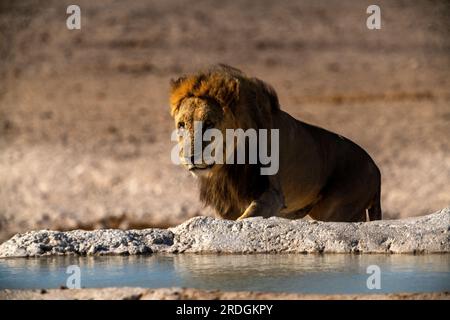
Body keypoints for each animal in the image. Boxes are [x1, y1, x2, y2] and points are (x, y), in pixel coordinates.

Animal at [171, 63, 382, 221]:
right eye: (181, 125)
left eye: (209, 123)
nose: (190, 157)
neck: (227, 165)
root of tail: (376, 168)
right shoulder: (227, 204)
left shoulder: (273, 194)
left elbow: (247, 217)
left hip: (337, 209)